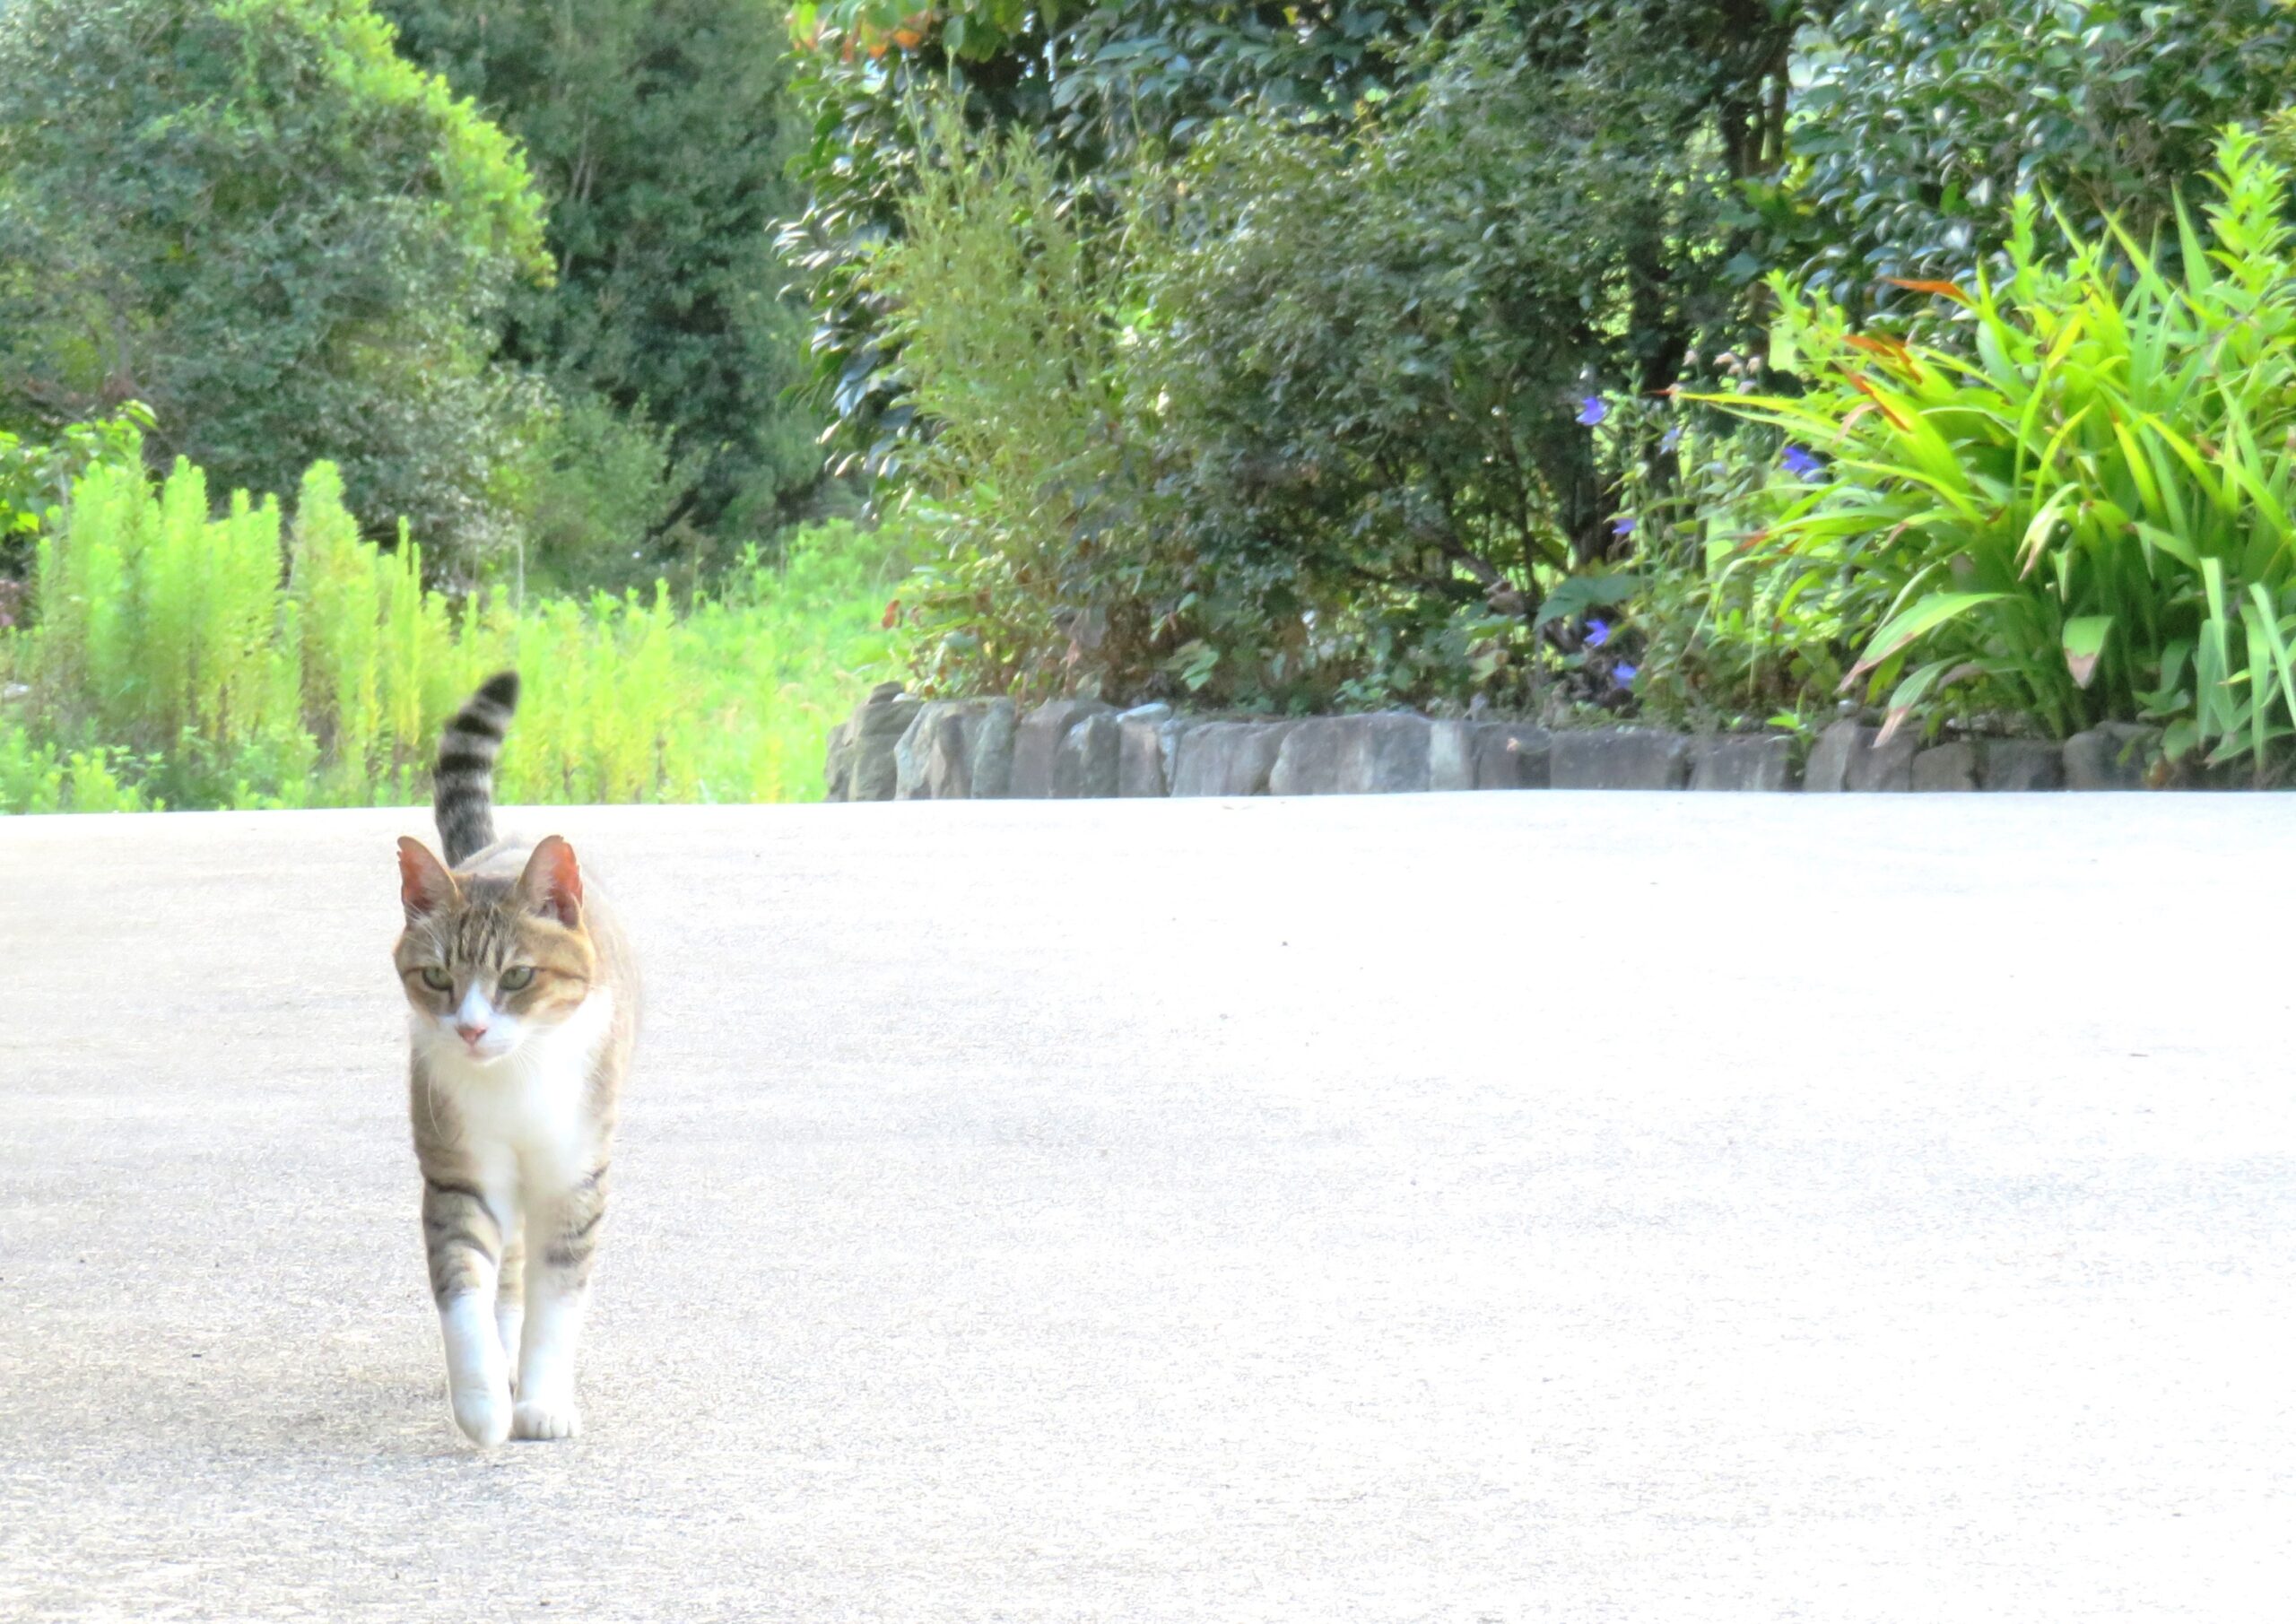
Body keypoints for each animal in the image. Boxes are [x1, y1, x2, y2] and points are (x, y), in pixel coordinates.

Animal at [387, 675, 633, 1451]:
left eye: (518, 977)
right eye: (438, 976)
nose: (470, 1027)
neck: (517, 1076)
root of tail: (500, 844)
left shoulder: (573, 1179)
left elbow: (557, 1302)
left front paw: (544, 1401)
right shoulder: (459, 1174)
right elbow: (465, 1290)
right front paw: (484, 1400)